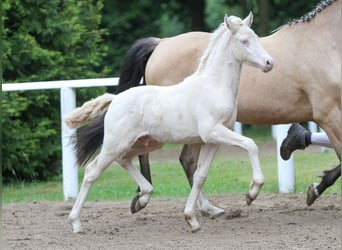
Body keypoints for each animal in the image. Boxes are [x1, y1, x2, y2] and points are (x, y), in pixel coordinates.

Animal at [67, 13, 274, 232]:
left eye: (256, 38)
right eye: (244, 41)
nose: (269, 62)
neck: (213, 86)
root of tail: (115, 99)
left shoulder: (213, 140)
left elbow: (200, 176)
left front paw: (191, 218)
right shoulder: (212, 132)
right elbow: (250, 144)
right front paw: (252, 193)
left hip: (147, 142)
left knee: (124, 159)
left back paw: (143, 197)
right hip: (116, 143)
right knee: (92, 171)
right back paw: (76, 222)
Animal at [117, 0, 340, 213]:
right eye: (244, 41)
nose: (269, 63)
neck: (324, 44)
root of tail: (161, 43)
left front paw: (314, 188)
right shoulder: (328, 115)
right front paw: (314, 190)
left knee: (187, 161)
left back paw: (206, 208)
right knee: (154, 155)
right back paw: (144, 199)